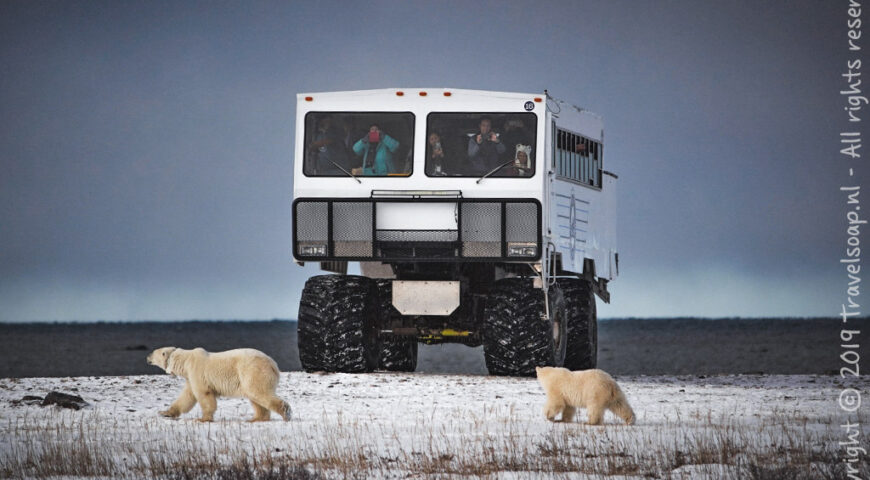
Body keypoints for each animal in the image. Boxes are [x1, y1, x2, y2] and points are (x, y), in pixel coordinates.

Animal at [145, 346, 292, 422]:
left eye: (153, 352)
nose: (147, 357)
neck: (186, 360)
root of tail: (273, 364)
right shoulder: (190, 377)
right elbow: (187, 396)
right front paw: (165, 413)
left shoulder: (197, 371)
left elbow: (203, 394)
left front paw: (203, 419)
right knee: (255, 396)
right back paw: (256, 418)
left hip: (253, 371)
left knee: (257, 391)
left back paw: (285, 412)